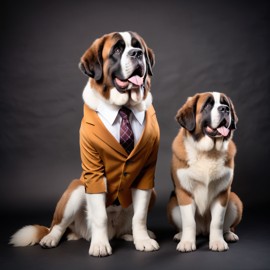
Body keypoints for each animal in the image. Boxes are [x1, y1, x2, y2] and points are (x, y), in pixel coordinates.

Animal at [9, 31, 159, 258]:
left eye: (137, 46)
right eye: (117, 49)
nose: (137, 53)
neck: (123, 107)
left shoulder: (146, 173)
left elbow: (139, 216)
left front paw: (142, 240)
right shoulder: (94, 171)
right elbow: (100, 216)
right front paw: (100, 245)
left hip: (152, 194)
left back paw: (131, 235)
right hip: (76, 189)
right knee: (58, 225)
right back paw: (52, 238)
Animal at [168, 93, 244, 253]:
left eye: (225, 103)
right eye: (208, 105)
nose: (225, 109)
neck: (207, 152)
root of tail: (203, 230)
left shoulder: (222, 193)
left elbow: (217, 221)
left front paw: (217, 242)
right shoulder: (184, 193)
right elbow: (189, 221)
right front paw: (186, 242)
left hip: (235, 200)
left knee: (226, 226)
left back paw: (228, 234)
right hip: (172, 204)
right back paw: (180, 235)